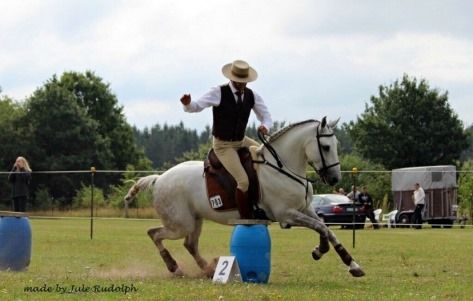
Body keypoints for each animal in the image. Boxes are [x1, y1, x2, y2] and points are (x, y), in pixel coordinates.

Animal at [124, 116, 366, 276]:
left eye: (335, 145)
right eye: (325, 147)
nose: (334, 178)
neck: (283, 168)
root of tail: (159, 178)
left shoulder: (305, 209)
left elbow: (325, 229)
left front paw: (334, 256)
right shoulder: (286, 215)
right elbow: (322, 227)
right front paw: (337, 258)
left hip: (195, 220)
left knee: (190, 244)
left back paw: (208, 269)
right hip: (180, 224)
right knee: (155, 234)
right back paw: (174, 267)